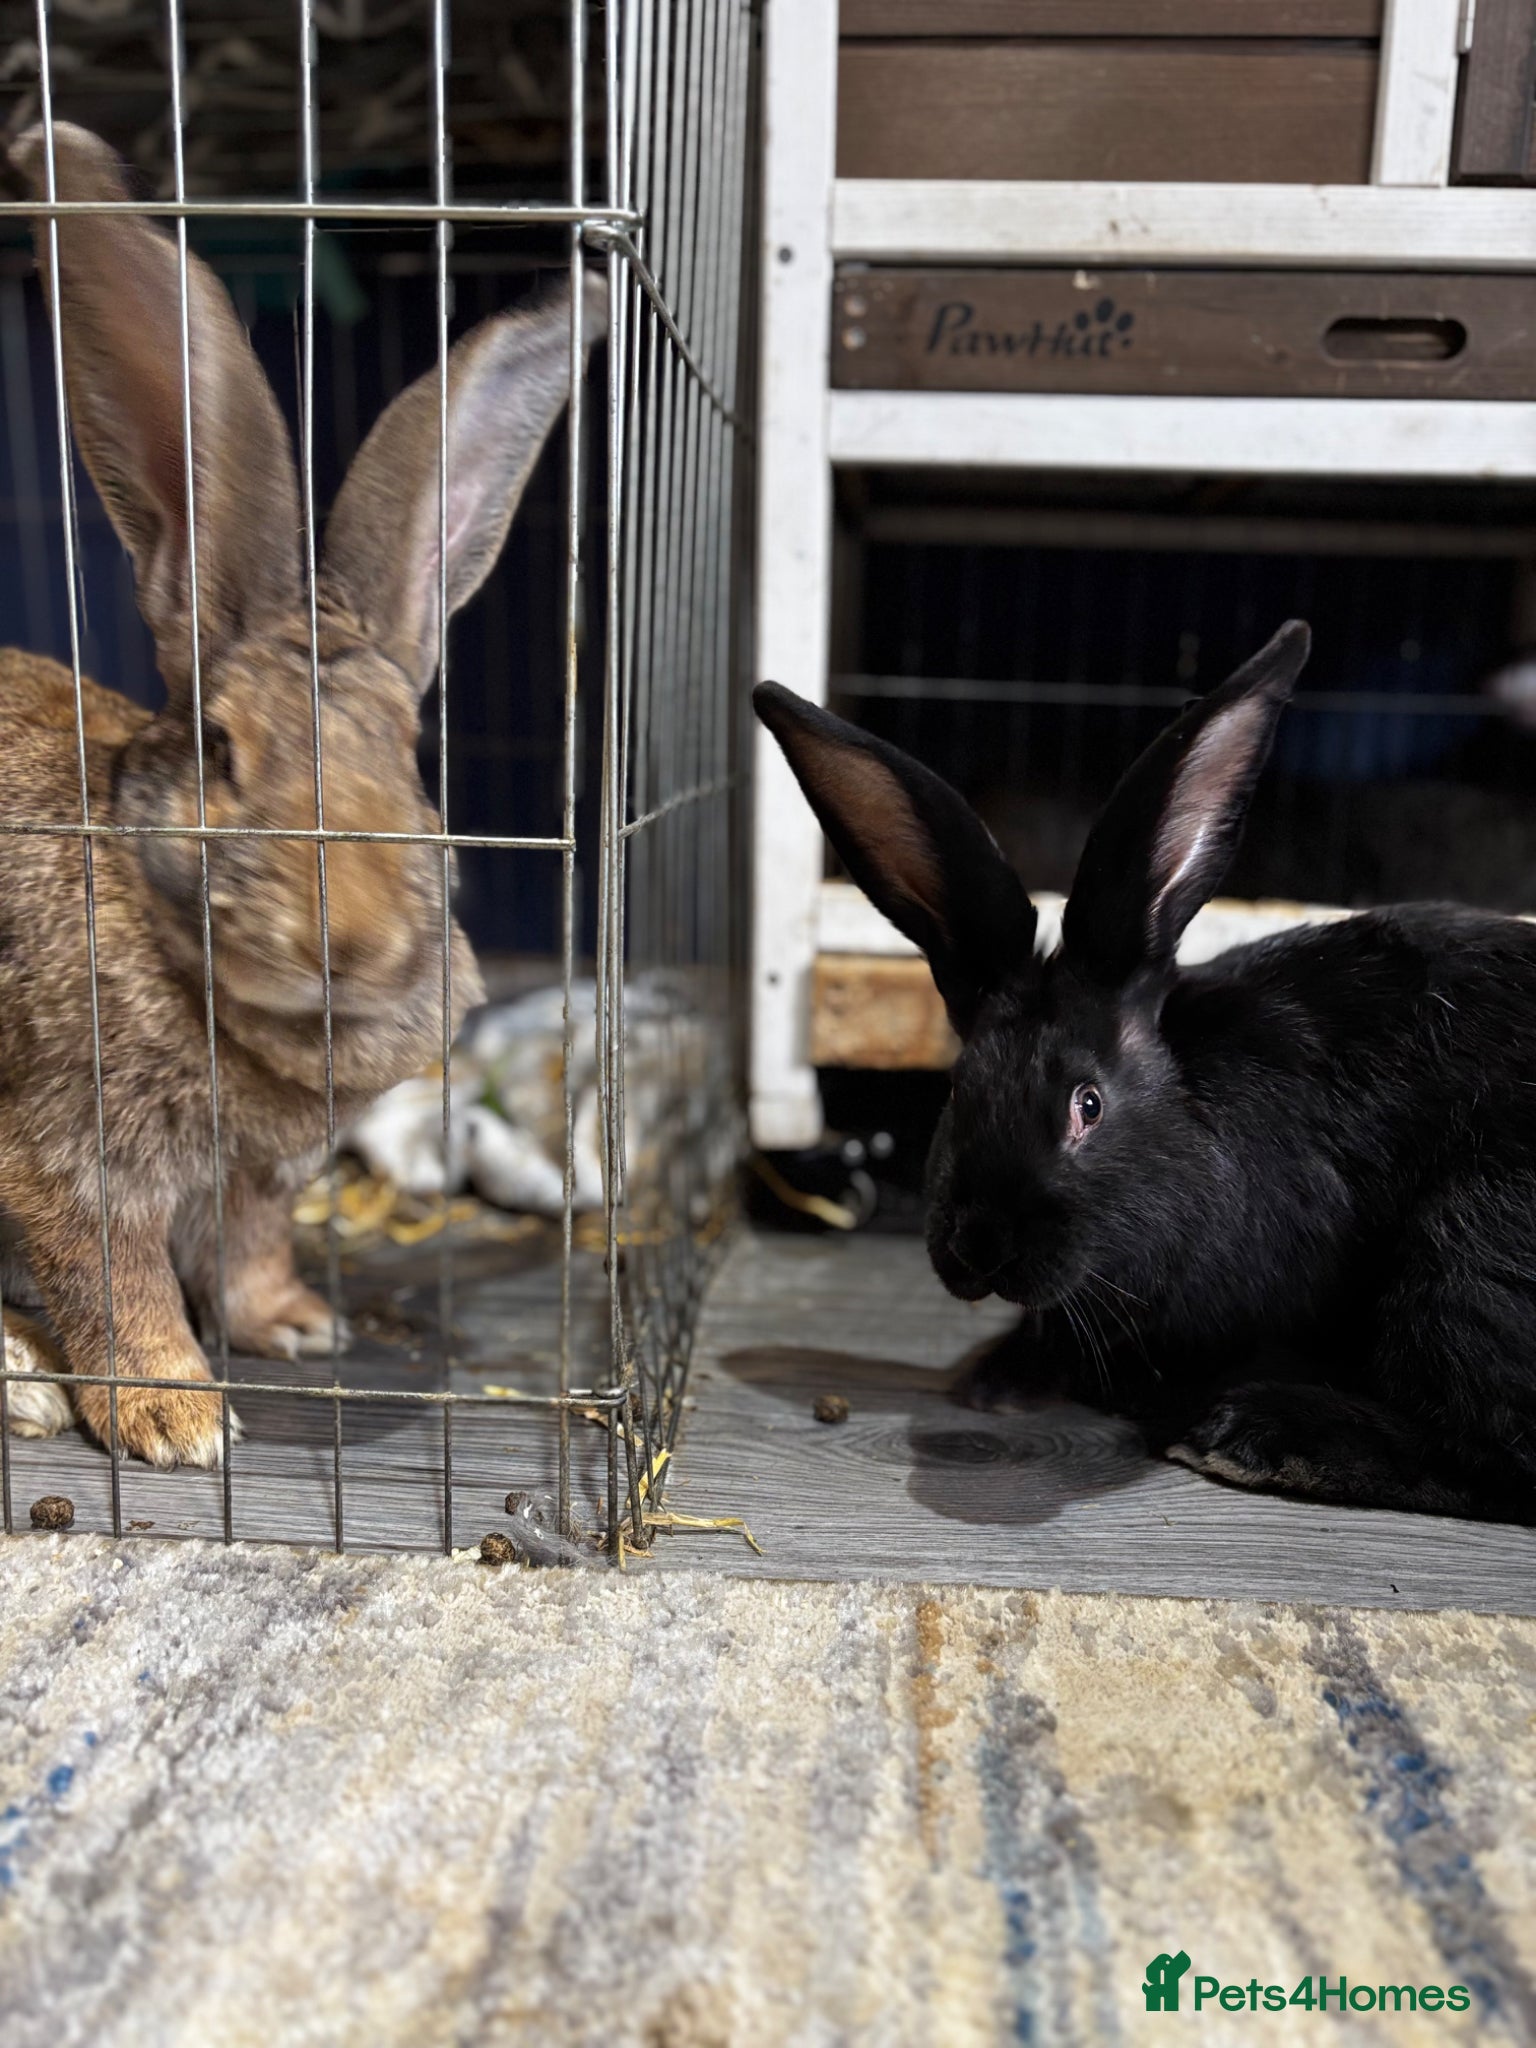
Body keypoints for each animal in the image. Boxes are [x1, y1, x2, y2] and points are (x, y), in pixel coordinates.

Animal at [0, 122, 602, 1468]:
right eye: (223, 750)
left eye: (414, 757)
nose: (355, 937)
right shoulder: (69, 1157)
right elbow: (115, 1281)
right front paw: (176, 1417)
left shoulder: (256, 1177)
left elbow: (249, 1244)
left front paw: (295, 1323)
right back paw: (21, 1378)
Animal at [755, 619, 1536, 1525]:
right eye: (956, 1092)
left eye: (1088, 1105)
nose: (981, 1245)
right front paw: (998, 1379)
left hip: (1468, 1252)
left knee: (1498, 1453)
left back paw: (1255, 1435)